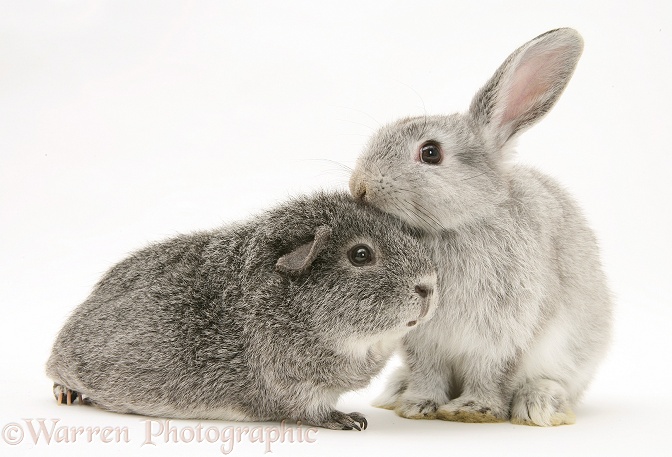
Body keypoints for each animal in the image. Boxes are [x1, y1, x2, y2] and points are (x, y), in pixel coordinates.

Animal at [46, 191, 436, 430]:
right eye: (360, 254)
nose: (430, 285)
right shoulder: (294, 388)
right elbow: (313, 411)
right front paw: (352, 420)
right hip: (63, 366)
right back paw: (67, 395)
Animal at [350, 28, 612, 426]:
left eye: (430, 152)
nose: (358, 186)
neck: (455, 226)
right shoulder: (422, 340)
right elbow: (427, 373)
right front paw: (417, 406)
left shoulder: (504, 336)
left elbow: (490, 373)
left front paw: (473, 411)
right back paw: (396, 391)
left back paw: (538, 405)